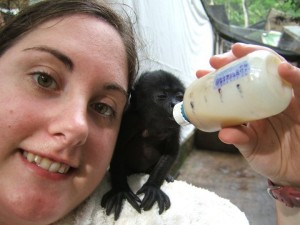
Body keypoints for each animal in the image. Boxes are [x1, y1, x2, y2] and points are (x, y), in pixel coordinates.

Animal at [101, 69, 185, 220]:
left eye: (179, 97)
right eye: (162, 96)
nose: (174, 103)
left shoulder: (175, 125)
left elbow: (171, 152)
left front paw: (152, 187)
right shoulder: (131, 120)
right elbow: (117, 149)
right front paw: (120, 190)